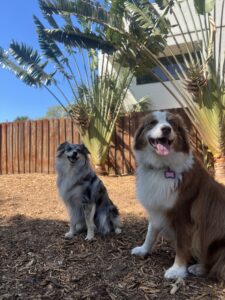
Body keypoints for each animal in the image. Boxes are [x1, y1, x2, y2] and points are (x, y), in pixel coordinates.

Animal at [132, 110, 225, 282]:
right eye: (153, 122)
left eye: (172, 124)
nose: (166, 129)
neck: (162, 167)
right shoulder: (156, 206)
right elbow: (150, 233)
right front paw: (143, 249)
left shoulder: (183, 214)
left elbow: (182, 245)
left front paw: (177, 270)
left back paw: (198, 268)